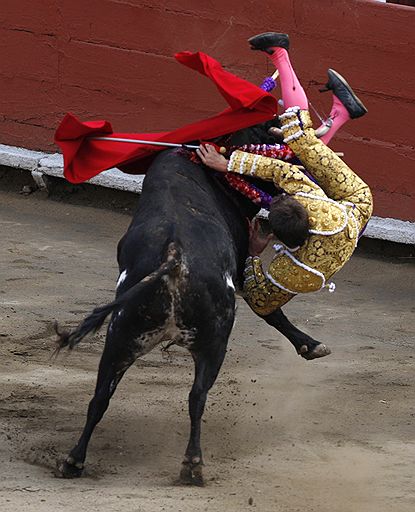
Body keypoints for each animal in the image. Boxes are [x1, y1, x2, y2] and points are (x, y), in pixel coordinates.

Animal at [55, 120, 328, 484]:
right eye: (274, 143)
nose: (307, 174)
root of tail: (174, 256)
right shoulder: (240, 267)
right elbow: (270, 311)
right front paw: (309, 345)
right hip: (215, 341)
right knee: (197, 396)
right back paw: (193, 465)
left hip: (120, 337)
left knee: (101, 396)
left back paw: (73, 460)